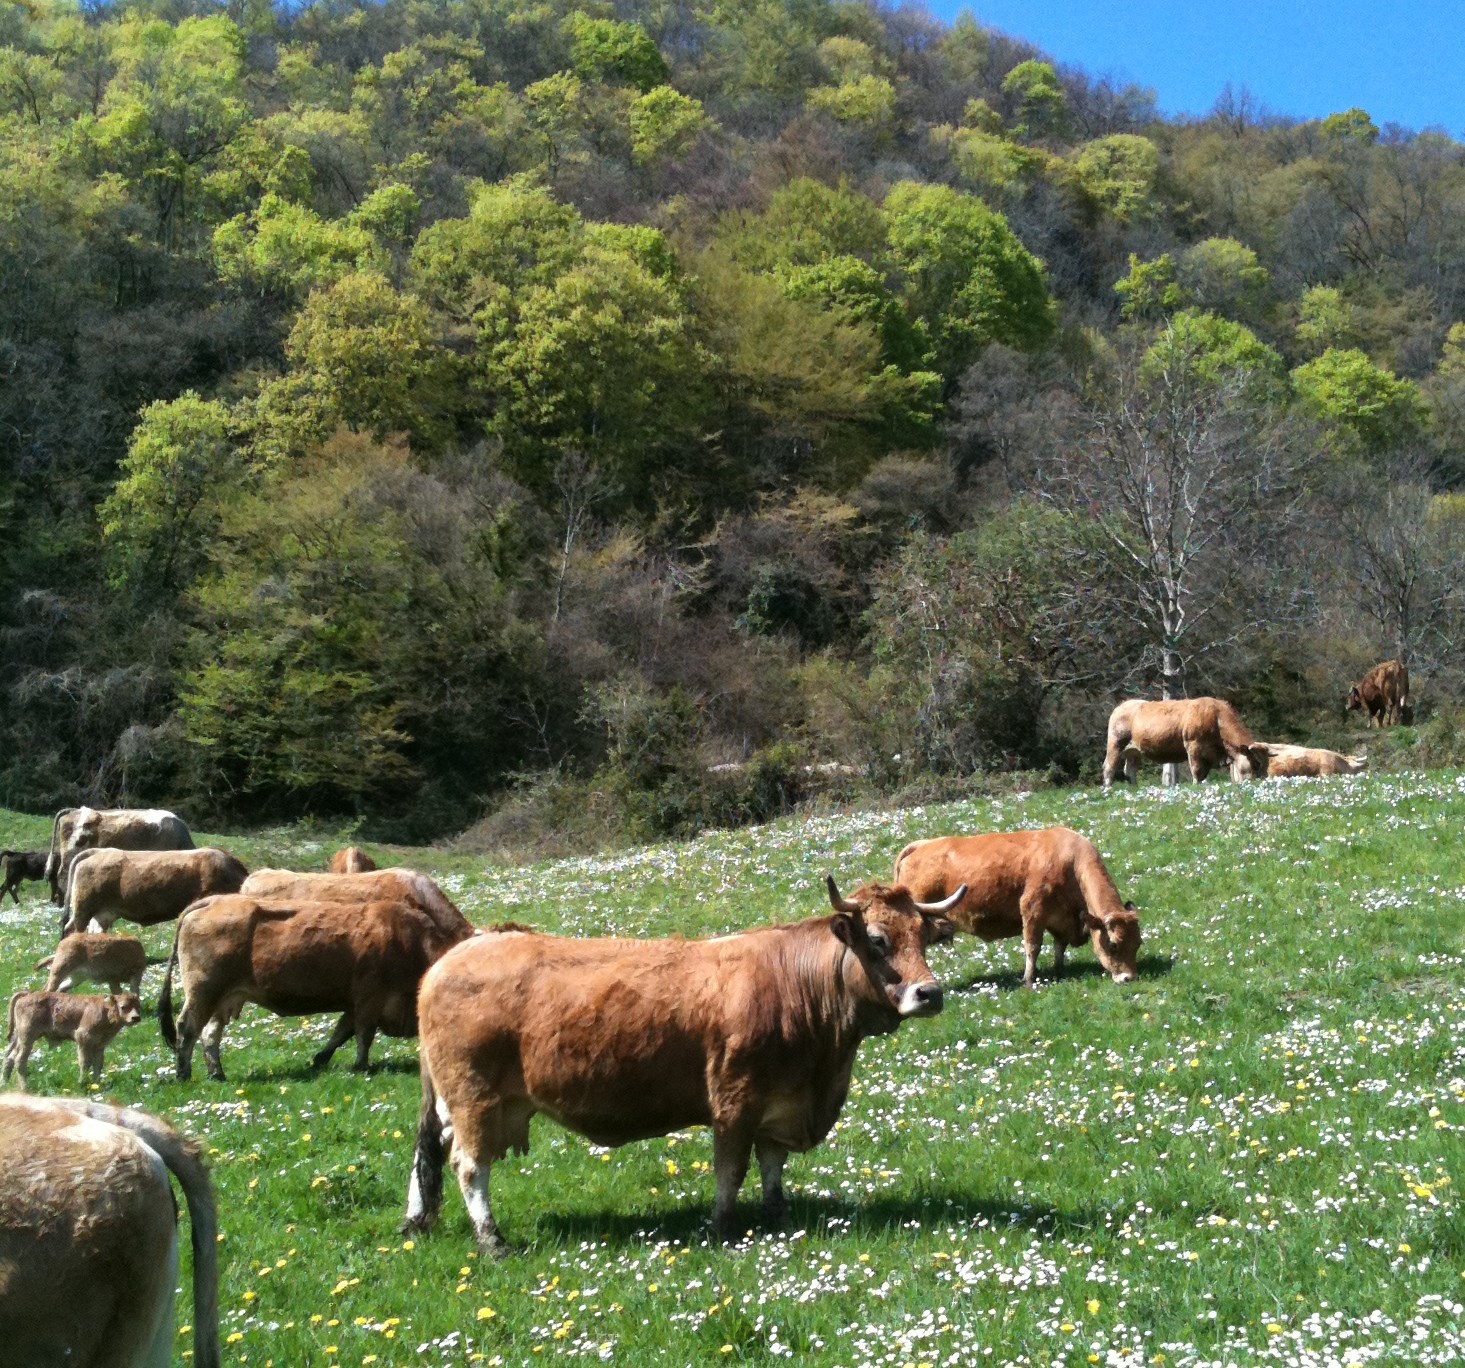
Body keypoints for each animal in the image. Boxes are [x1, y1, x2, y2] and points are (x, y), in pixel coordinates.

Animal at [3, 990, 143, 1089]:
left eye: (138, 1006)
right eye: (123, 1006)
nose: (136, 1017)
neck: (105, 1011)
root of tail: (29, 993)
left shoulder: (100, 1045)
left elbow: (98, 1063)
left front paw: (96, 1085)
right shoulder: (83, 1039)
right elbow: (85, 1062)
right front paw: (81, 1083)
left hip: (19, 1038)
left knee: (9, 1058)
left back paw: (4, 1083)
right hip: (27, 1037)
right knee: (19, 1059)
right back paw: (24, 1088)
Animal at [159, 892, 475, 1081]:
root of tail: (213, 900)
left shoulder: (355, 1003)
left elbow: (342, 1032)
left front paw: (321, 1059)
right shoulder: (369, 998)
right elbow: (363, 1035)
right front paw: (361, 1066)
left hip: (223, 999)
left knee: (210, 1034)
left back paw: (217, 1073)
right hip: (203, 991)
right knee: (188, 1028)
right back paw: (183, 1073)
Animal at [401, 877, 966, 1254]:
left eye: (924, 937)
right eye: (878, 941)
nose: (930, 993)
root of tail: (460, 952)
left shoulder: (780, 1104)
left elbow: (772, 1167)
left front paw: (780, 1220)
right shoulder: (735, 1100)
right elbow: (730, 1170)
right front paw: (721, 1229)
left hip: (453, 1100)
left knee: (431, 1146)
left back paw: (416, 1221)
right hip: (475, 1098)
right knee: (469, 1165)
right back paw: (492, 1241)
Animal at [892, 828, 1141, 988]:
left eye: (1138, 943)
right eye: (1114, 945)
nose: (1129, 978)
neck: (1070, 862)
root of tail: (921, 845)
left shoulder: (1060, 919)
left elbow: (1059, 946)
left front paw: (1059, 971)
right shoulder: (1032, 910)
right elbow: (1033, 947)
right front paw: (1029, 979)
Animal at [1103, 697, 1270, 787]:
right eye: (1255, 764)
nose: (1256, 785)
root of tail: (1123, 705)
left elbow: (1203, 774)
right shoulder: (1193, 745)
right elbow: (1197, 770)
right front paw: (1196, 787)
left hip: (1134, 750)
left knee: (1130, 769)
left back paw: (1134, 788)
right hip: (1116, 743)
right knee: (1109, 767)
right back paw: (1108, 790)